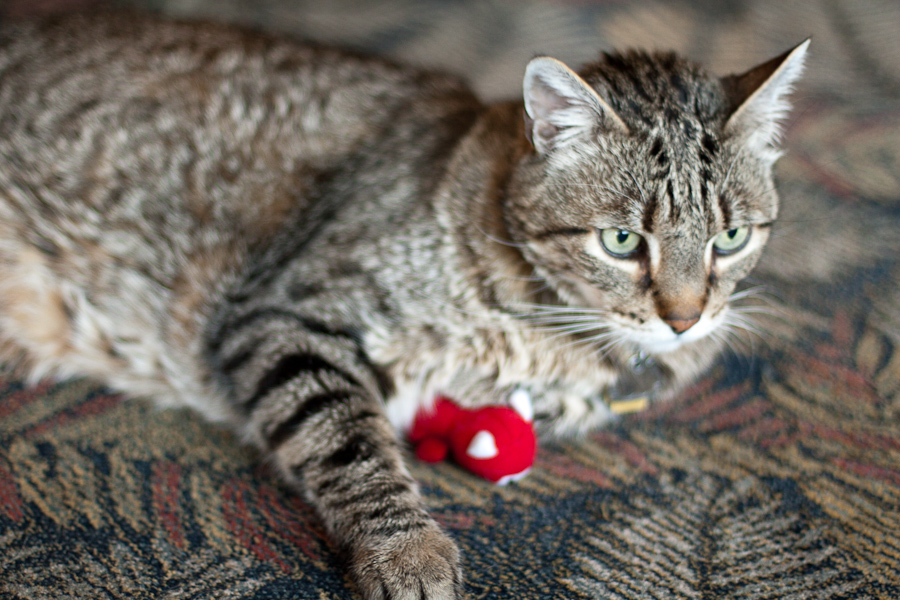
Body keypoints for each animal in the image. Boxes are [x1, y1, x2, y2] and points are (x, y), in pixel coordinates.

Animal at [0, 10, 804, 600]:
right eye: (620, 240)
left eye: (731, 238)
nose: (685, 318)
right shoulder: (281, 314)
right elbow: (348, 437)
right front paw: (407, 548)